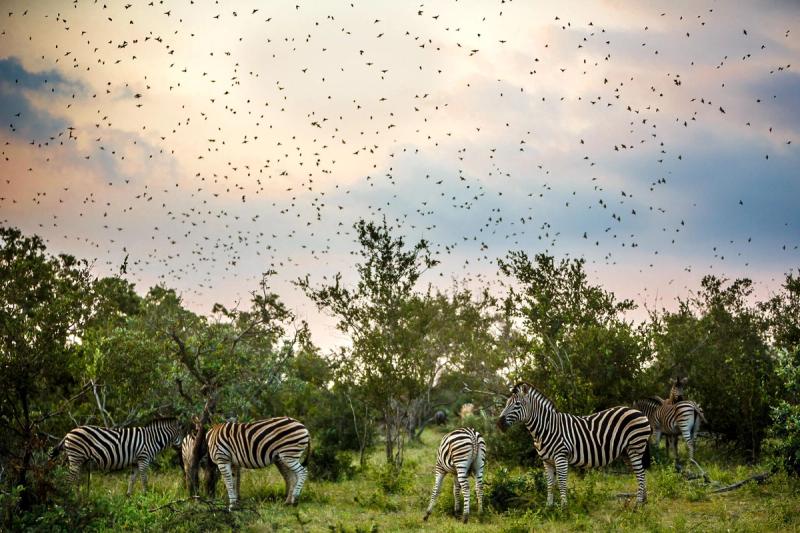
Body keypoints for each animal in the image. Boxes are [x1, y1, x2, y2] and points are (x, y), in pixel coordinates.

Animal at [50, 418, 183, 495]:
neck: (152, 439)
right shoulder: (143, 459)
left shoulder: (135, 462)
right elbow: (144, 479)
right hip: (76, 458)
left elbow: (132, 480)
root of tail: (68, 434)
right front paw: (146, 496)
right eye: (182, 434)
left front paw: (129, 497)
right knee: (69, 480)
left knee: (75, 480)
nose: (182, 448)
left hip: (79, 460)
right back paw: (69, 498)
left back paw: (78, 498)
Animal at [497, 382, 651, 507]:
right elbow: (550, 484)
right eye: (506, 403)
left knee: (640, 474)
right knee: (640, 473)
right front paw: (549, 507)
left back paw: (638, 505)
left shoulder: (561, 457)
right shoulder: (547, 461)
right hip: (627, 452)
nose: (499, 423)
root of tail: (638, 411)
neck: (546, 428)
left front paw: (564, 508)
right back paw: (644, 502)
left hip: (635, 448)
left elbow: (562, 483)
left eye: (517, 404)